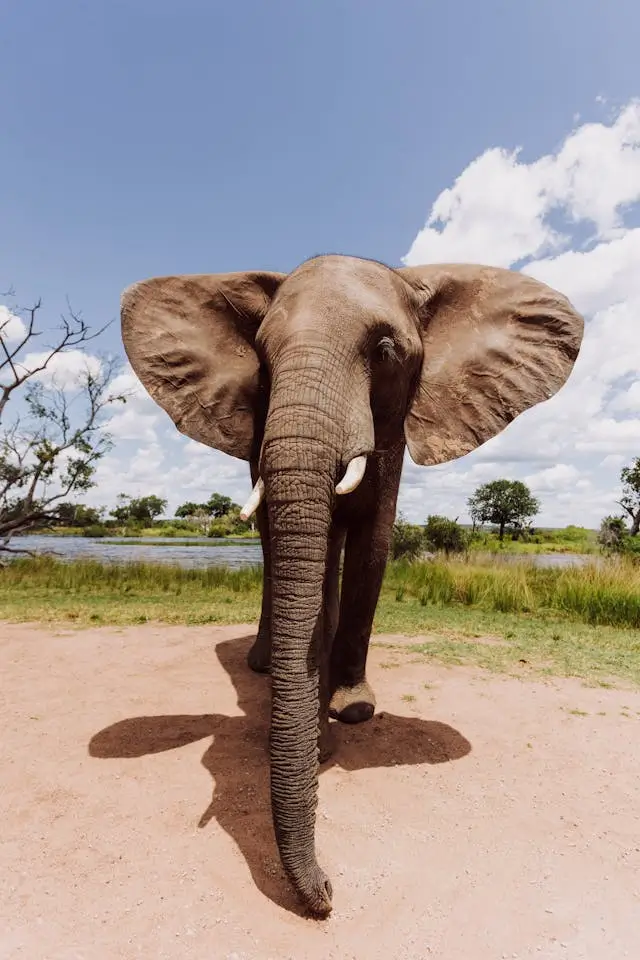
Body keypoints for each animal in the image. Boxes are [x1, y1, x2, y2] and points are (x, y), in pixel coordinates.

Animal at [120, 254, 584, 917]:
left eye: (386, 351)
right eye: (261, 355)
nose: (328, 894)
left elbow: (373, 545)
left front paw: (353, 711)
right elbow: (301, 553)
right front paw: (317, 732)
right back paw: (263, 664)